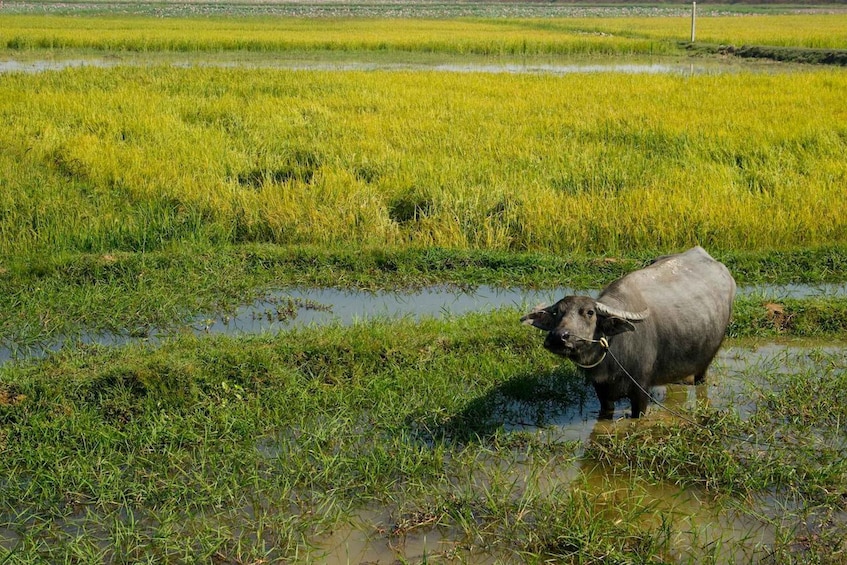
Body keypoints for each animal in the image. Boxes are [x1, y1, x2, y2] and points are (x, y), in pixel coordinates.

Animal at [524, 247, 736, 418]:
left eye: (590, 312)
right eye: (557, 313)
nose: (558, 337)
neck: (613, 351)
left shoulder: (641, 390)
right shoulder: (601, 391)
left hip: (705, 361)